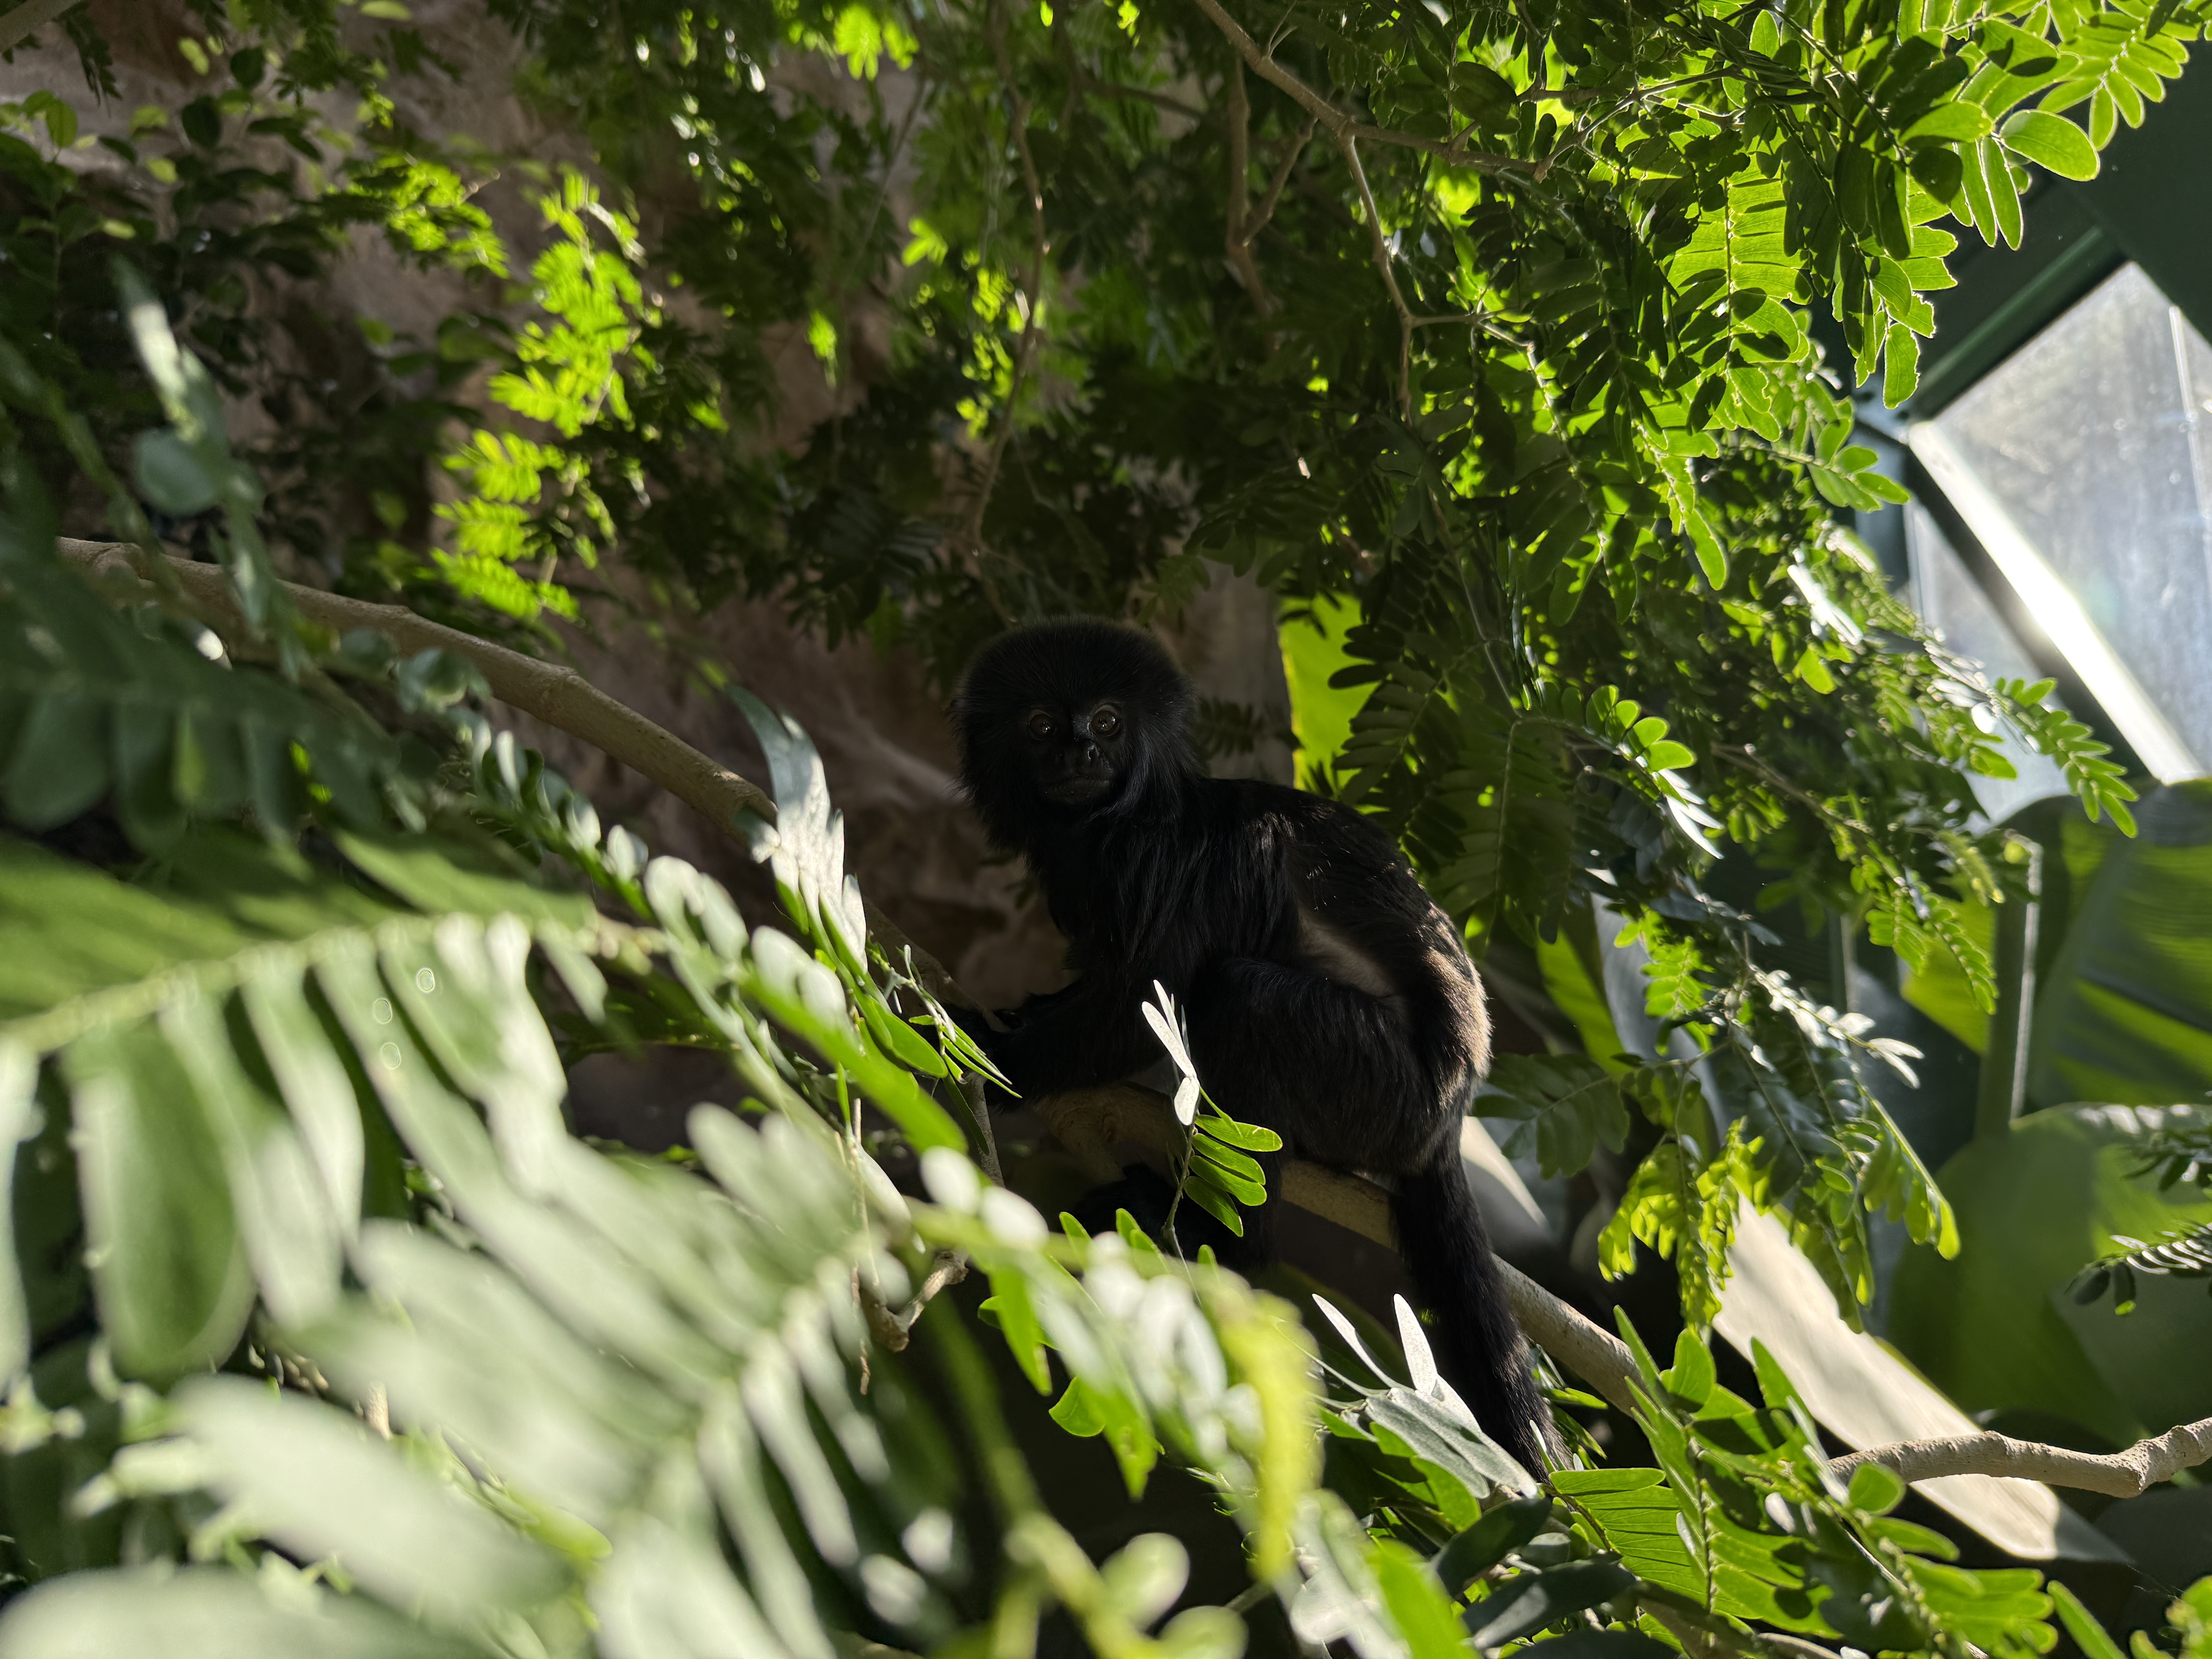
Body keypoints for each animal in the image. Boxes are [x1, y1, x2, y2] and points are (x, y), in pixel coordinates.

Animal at [952, 618, 1550, 1472]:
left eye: (1107, 721)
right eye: (1039, 726)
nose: (1080, 752)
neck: (1115, 824)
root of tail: (1449, 1121)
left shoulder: (1174, 863)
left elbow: (1130, 1008)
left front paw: (984, 1051)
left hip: (1383, 1089)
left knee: (1244, 999)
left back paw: (1223, 1243)